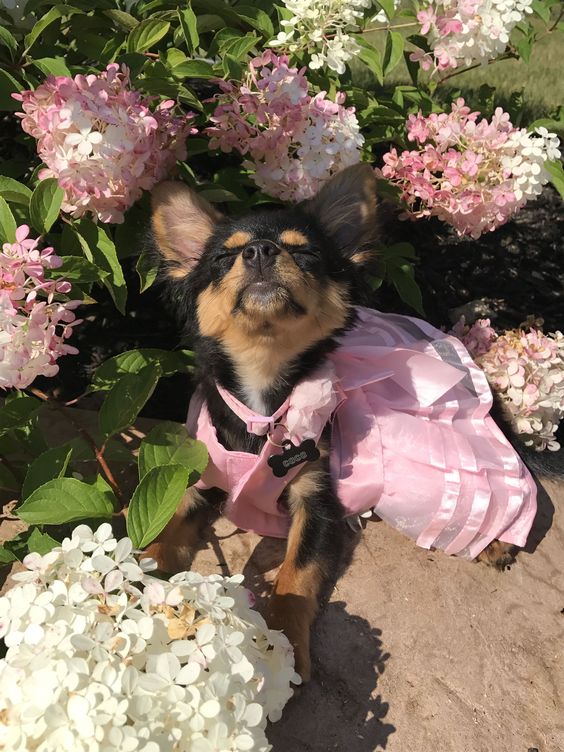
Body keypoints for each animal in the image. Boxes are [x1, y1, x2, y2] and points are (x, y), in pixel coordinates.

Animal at [145, 166, 536, 680]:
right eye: (224, 257)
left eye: (306, 253)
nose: (260, 251)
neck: (264, 393)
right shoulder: (195, 481)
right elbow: (163, 531)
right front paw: (133, 575)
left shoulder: (318, 502)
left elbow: (295, 576)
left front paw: (284, 644)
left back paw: (494, 540)